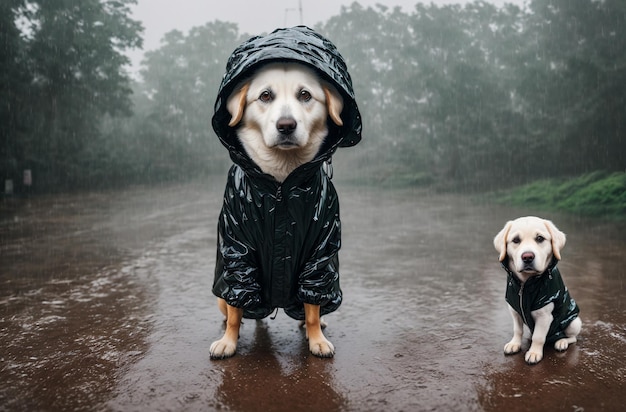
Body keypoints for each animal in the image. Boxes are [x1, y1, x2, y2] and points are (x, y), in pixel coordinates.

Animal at [207, 26, 358, 360]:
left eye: (305, 95)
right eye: (265, 95)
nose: (286, 125)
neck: (280, 182)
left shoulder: (321, 249)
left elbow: (312, 305)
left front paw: (316, 339)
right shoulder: (237, 248)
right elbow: (237, 306)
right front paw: (228, 341)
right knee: (232, 308)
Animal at [492, 216, 580, 364]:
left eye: (540, 238)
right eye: (516, 240)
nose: (527, 257)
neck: (525, 285)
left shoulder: (544, 316)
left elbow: (538, 337)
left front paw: (534, 353)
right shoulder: (514, 311)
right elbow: (517, 330)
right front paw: (514, 344)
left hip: (574, 323)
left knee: (572, 338)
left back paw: (561, 342)